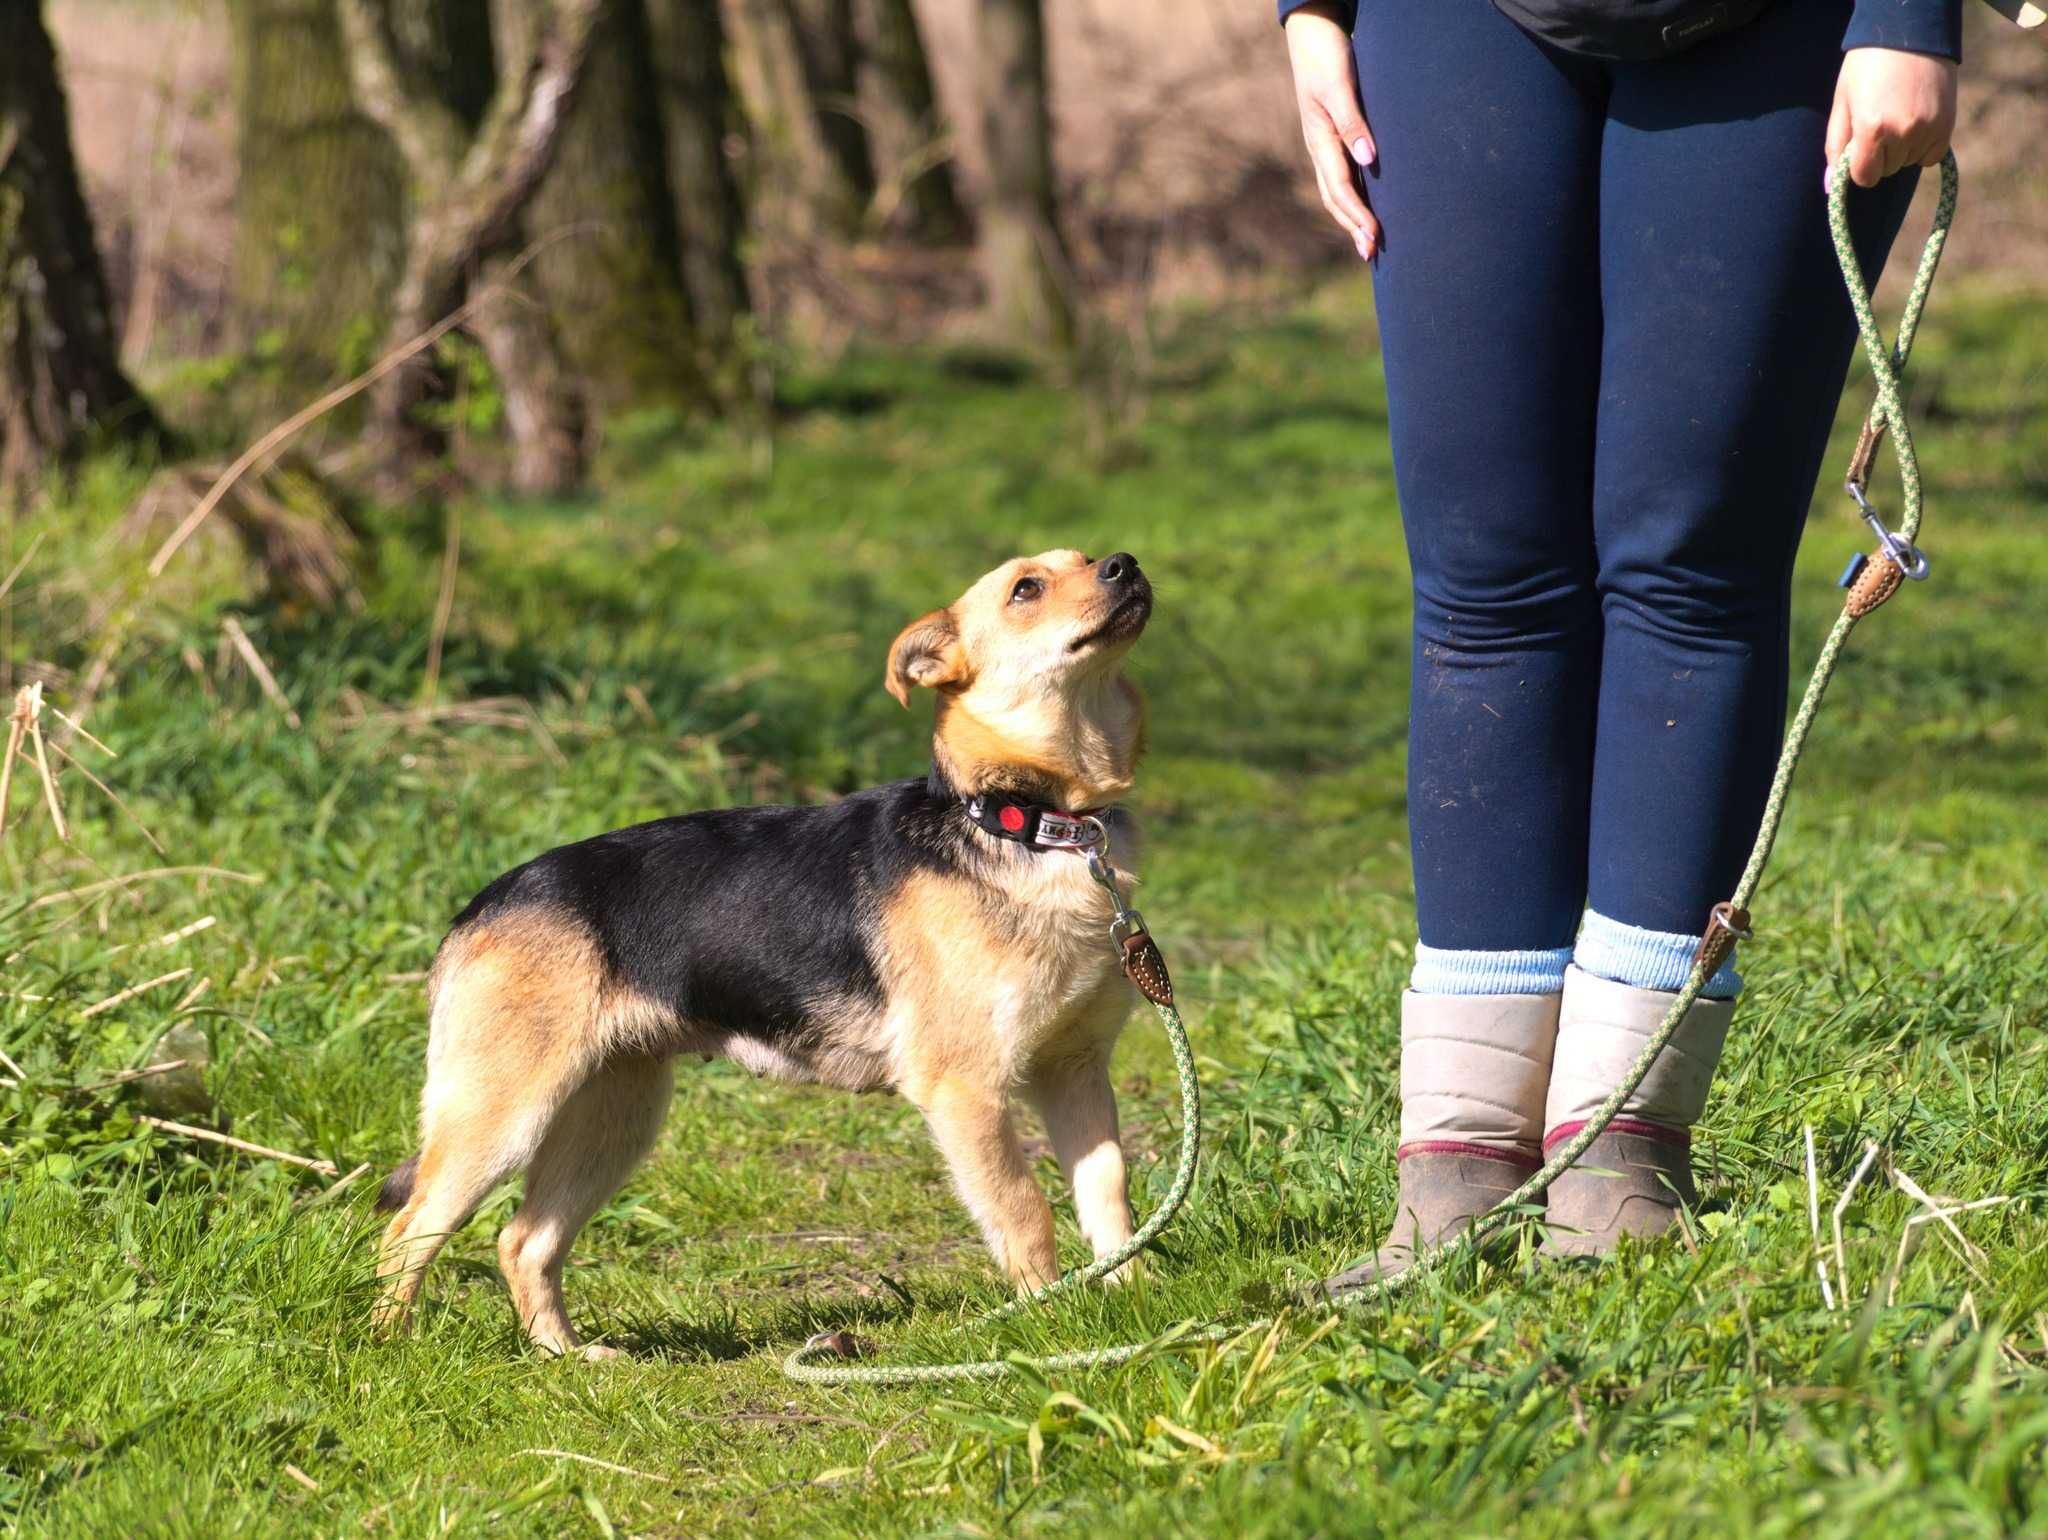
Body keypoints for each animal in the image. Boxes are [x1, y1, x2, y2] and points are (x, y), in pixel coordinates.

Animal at [372, 548, 1155, 1351]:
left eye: (1087, 560)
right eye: (1025, 589)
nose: (1126, 565)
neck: (1031, 821)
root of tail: (478, 908)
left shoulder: (1076, 1072)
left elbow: (1110, 1192)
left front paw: (1129, 1301)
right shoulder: (968, 1090)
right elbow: (1025, 1209)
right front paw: (1052, 1324)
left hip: (615, 1114)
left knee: (523, 1239)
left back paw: (567, 1355)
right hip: (502, 1113)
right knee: (410, 1230)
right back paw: (391, 1346)